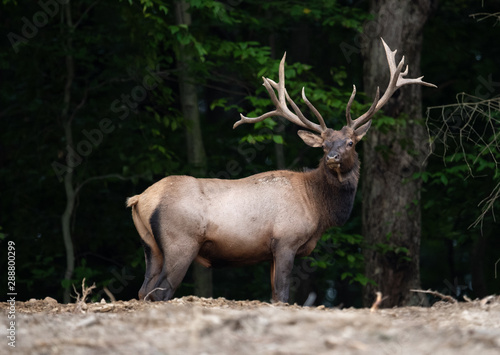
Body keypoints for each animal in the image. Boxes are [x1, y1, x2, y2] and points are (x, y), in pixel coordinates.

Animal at [127, 40, 436, 304]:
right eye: (324, 145)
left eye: (350, 142)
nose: (333, 158)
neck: (318, 207)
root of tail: (140, 199)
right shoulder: (286, 240)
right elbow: (284, 294)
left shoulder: (271, 252)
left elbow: (275, 295)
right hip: (181, 242)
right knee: (161, 291)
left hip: (150, 246)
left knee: (143, 290)